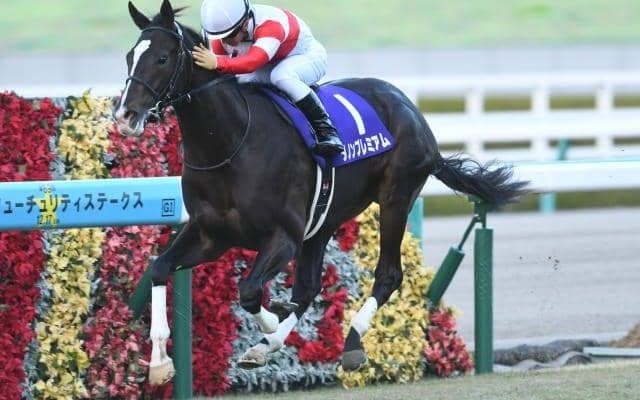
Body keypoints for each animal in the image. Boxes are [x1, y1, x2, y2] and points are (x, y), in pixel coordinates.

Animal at [114, 0, 528, 385]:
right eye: (130, 56)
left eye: (162, 58)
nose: (125, 115)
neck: (230, 144)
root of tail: (411, 109)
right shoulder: (211, 234)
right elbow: (160, 267)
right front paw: (160, 363)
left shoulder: (283, 236)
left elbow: (249, 291)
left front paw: (271, 323)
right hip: (325, 217)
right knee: (310, 285)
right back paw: (269, 346)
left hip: (396, 198)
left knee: (388, 275)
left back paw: (351, 343)